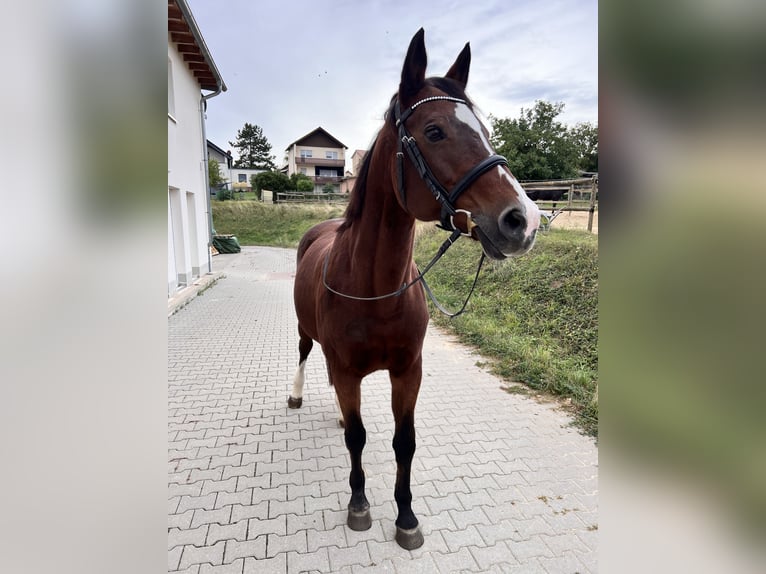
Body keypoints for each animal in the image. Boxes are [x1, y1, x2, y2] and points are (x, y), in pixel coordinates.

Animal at [288, 29, 540, 552]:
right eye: (435, 131)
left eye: (486, 131)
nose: (523, 220)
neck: (377, 289)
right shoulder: (348, 370)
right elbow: (358, 439)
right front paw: (359, 505)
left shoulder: (409, 371)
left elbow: (404, 441)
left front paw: (406, 516)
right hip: (305, 331)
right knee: (303, 353)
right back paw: (297, 395)